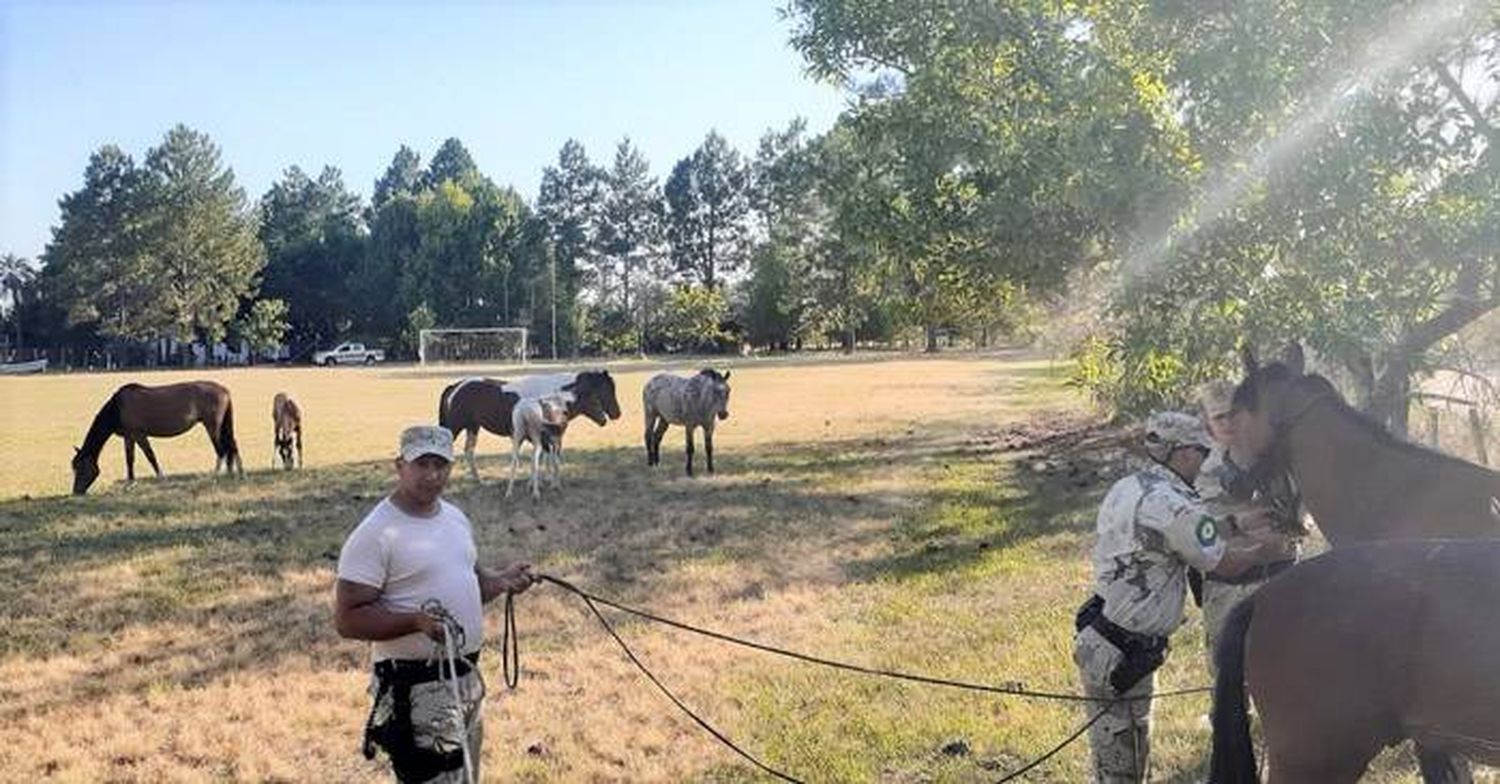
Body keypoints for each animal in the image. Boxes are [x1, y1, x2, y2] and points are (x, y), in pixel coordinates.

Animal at [71, 382, 243, 497]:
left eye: (80, 467)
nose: (76, 492)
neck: (118, 407)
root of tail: (224, 390)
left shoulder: (139, 435)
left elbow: (150, 456)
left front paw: (160, 477)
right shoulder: (129, 437)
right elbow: (129, 459)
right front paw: (130, 483)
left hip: (212, 426)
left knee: (221, 450)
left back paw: (216, 476)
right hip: (222, 426)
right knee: (232, 446)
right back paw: (235, 474)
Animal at [435, 371, 621, 482]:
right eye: (606, 389)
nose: (617, 413)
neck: (553, 397)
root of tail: (455, 387)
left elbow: (545, 457)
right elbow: (547, 456)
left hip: (473, 427)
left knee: (469, 451)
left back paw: (478, 481)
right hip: (454, 429)